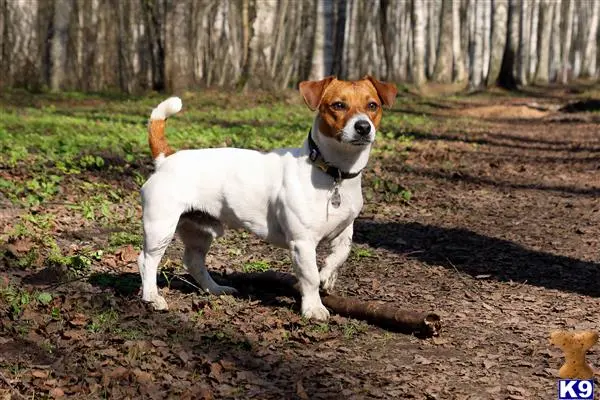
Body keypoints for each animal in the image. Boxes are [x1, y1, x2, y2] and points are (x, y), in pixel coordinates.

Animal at [138, 76, 396, 322]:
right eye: (338, 105)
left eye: (372, 105)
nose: (363, 127)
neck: (334, 174)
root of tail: (166, 158)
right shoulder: (302, 243)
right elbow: (310, 276)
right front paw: (313, 308)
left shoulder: (344, 233)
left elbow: (339, 257)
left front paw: (327, 277)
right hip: (161, 227)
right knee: (147, 260)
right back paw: (152, 297)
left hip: (200, 230)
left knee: (193, 261)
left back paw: (215, 289)